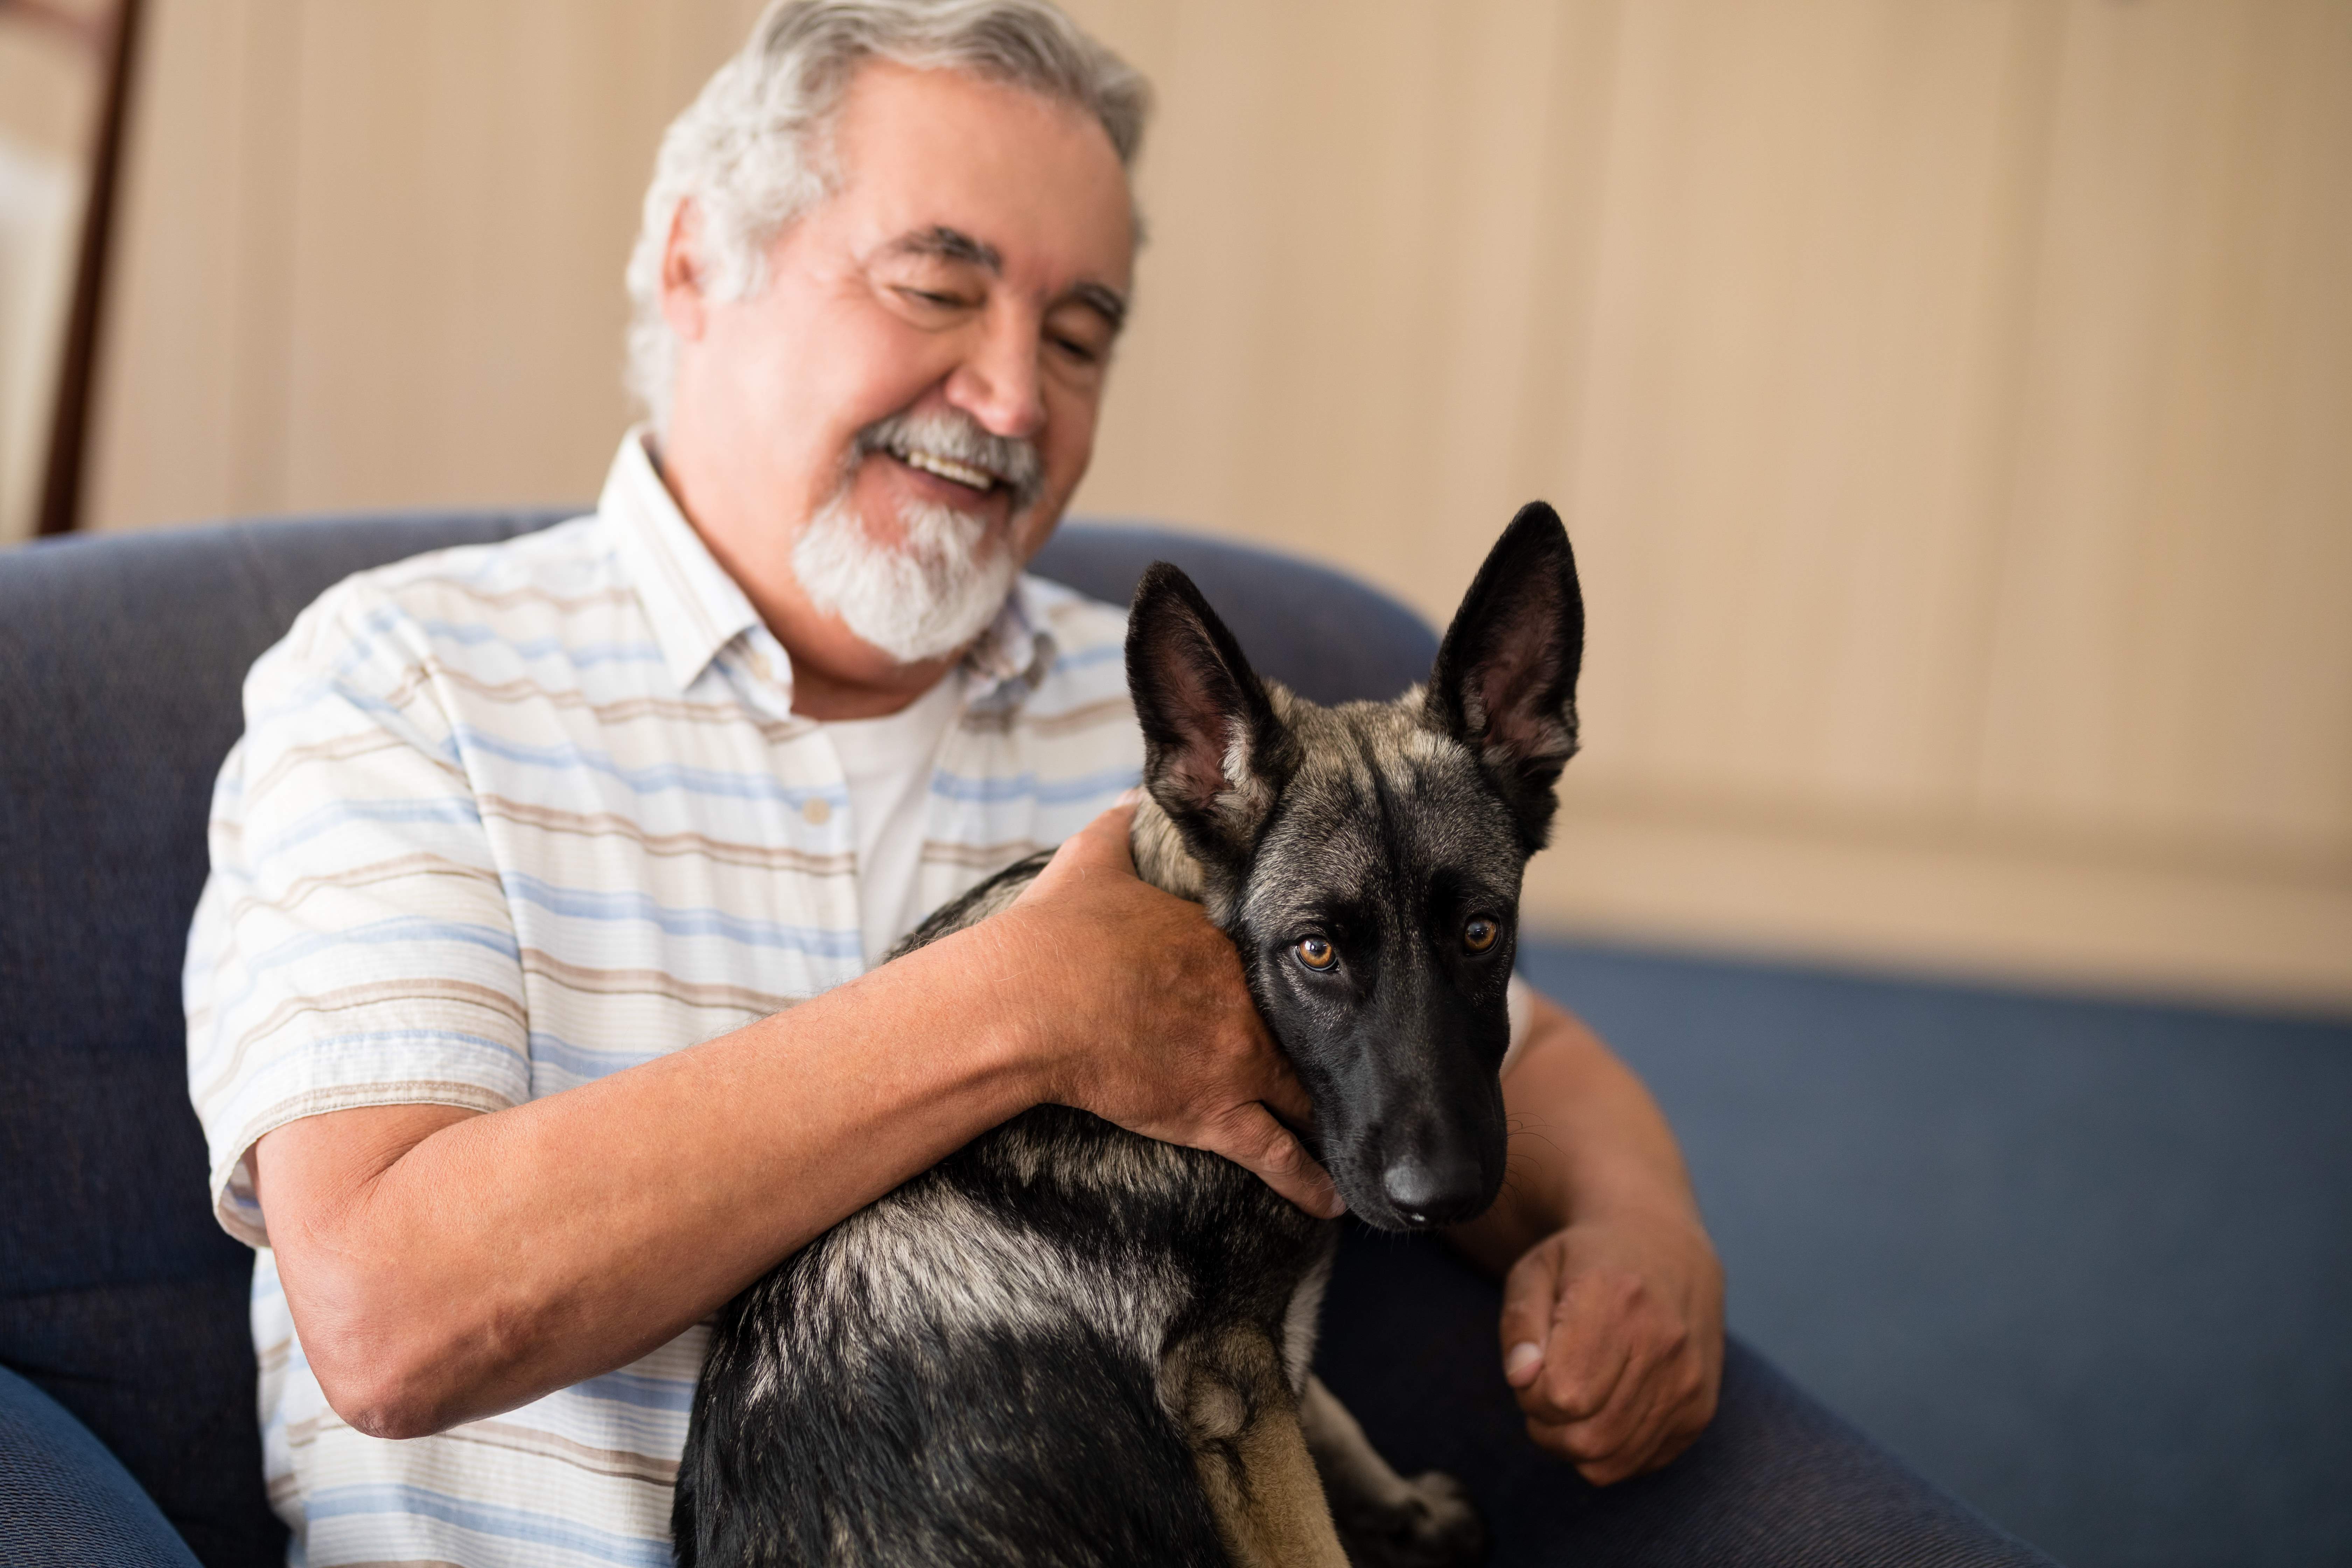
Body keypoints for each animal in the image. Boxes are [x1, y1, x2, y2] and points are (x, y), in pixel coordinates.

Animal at [672, 510, 1590, 1561]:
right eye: (1315, 951)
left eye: (1481, 933)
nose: (1445, 1196)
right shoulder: (1228, 1391)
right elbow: (1311, 1522)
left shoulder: (1253, 1369)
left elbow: (1325, 1409)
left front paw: (1397, 1501)